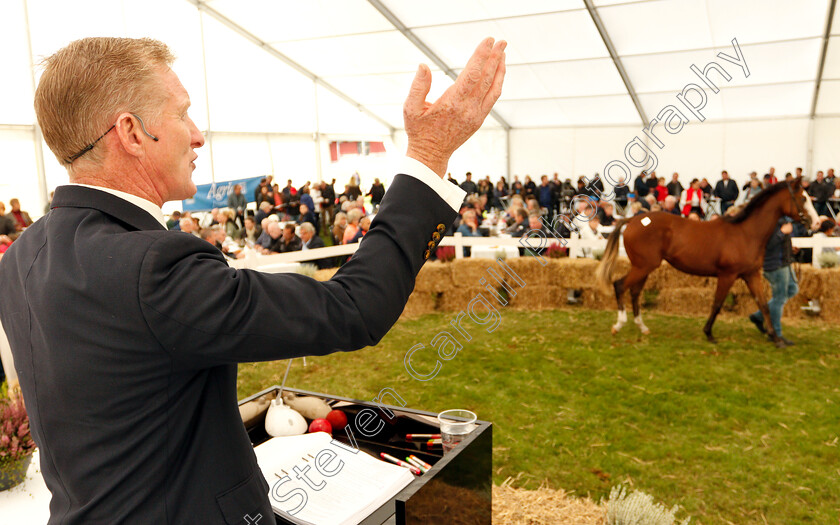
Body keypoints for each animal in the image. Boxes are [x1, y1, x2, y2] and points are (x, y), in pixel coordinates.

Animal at [596, 178, 820, 346]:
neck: (746, 233)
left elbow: (764, 304)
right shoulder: (728, 275)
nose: (816, 223)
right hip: (643, 266)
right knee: (620, 285)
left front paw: (776, 338)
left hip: (644, 267)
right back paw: (618, 325)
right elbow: (717, 304)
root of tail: (632, 220)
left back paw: (642, 327)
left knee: (634, 292)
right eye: (803, 198)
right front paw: (709, 333)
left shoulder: (751, 275)